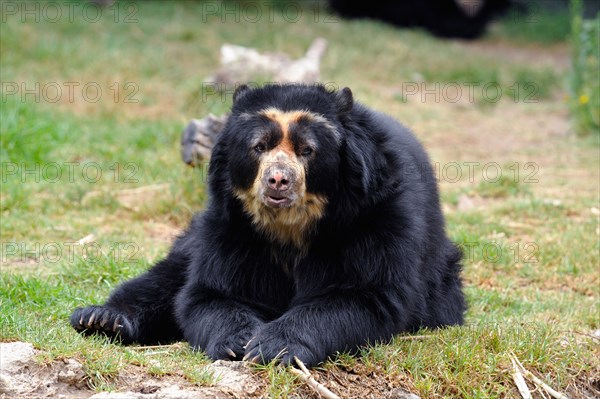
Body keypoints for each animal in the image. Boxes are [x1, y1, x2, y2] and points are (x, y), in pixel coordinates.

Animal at [70, 84, 464, 368]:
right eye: (258, 146)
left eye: (307, 150)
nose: (278, 180)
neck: (291, 225)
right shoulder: (233, 226)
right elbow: (212, 293)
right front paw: (237, 343)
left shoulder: (376, 219)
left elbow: (364, 293)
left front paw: (272, 346)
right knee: (168, 275)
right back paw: (101, 318)